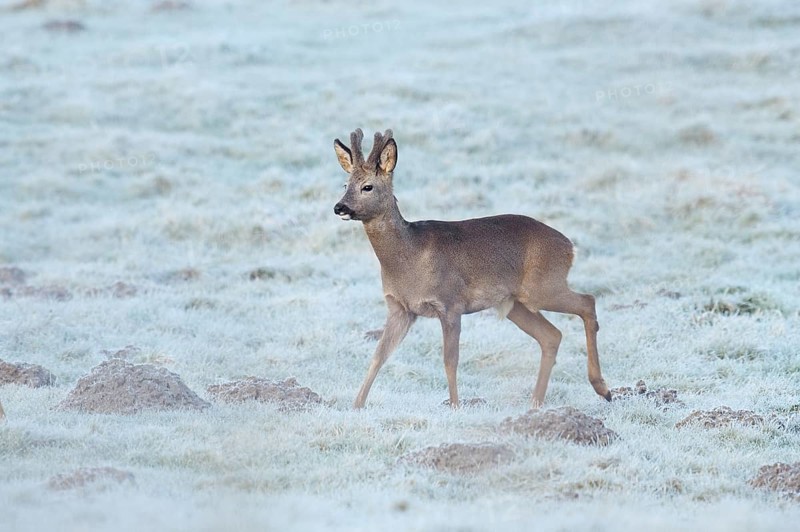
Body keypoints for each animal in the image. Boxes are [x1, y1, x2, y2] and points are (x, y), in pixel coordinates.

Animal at [333, 128, 611, 409]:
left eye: (367, 186)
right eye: (345, 185)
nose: (339, 207)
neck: (410, 256)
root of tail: (569, 246)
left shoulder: (450, 303)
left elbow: (450, 360)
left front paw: (455, 406)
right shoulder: (400, 308)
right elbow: (378, 356)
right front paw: (356, 406)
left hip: (543, 287)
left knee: (588, 302)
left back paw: (602, 388)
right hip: (515, 303)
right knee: (552, 335)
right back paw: (536, 403)